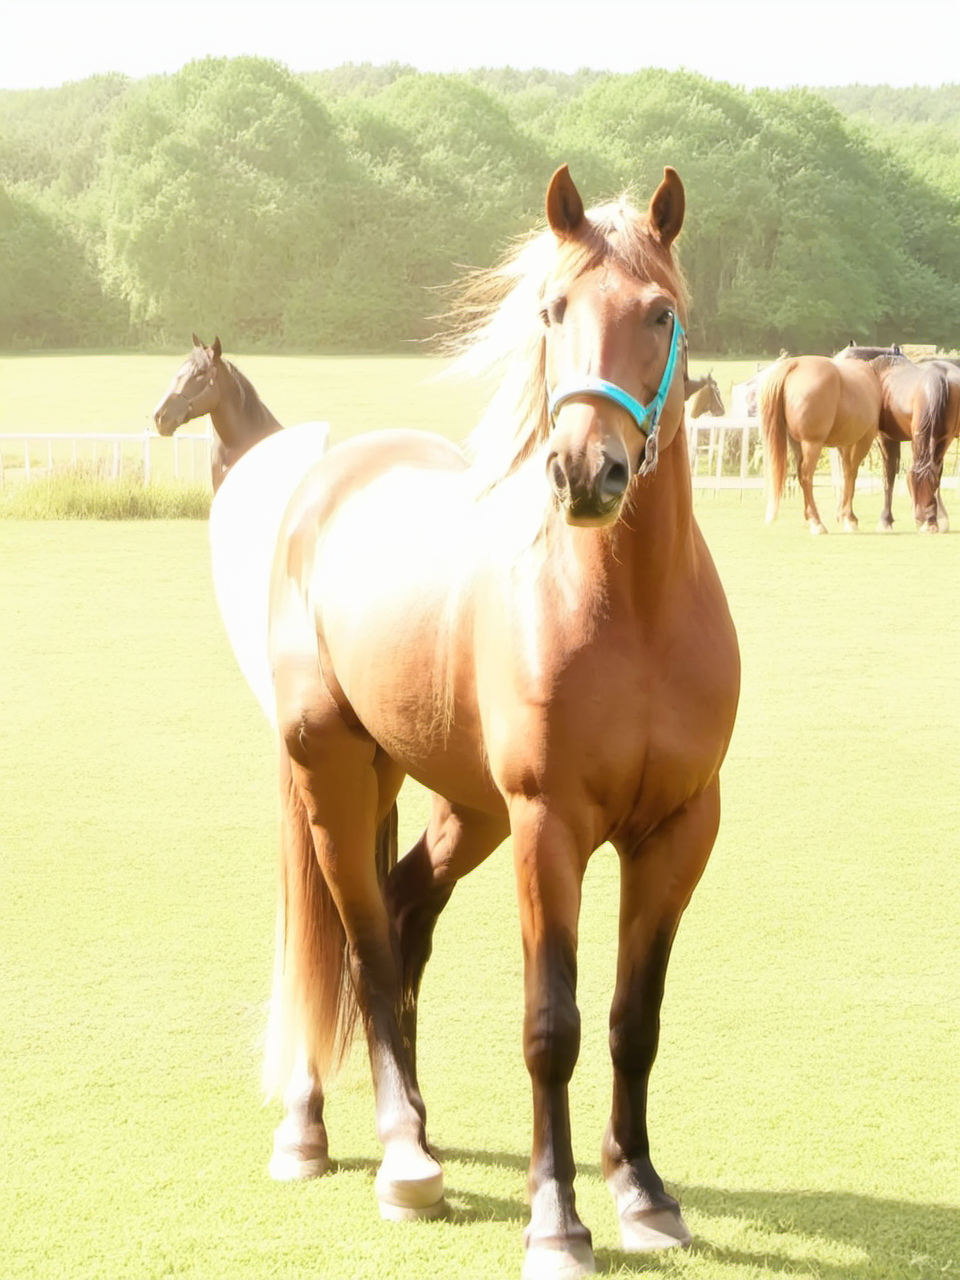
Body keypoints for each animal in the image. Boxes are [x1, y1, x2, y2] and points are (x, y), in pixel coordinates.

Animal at [209, 164, 741, 1280]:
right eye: (553, 310)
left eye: (659, 311)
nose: (586, 471)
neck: (631, 611)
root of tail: (330, 476)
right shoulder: (551, 827)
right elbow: (553, 1025)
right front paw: (557, 1218)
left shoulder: (679, 831)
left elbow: (633, 1018)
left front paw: (643, 1189)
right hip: (334, 772)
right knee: (356, 937)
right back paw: (378, 1148)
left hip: (453, 798)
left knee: (400, 915)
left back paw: (399, 1120)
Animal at [758, 354, 882, 533]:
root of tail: (795, 364)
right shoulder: (862, 440)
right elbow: (852, 474)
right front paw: (849, 518)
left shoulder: (844, 444)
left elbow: (847, 474)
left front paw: (843, 516)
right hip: (812, 444)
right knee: (806, 476)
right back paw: (817, 523)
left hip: (797, 444)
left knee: (801, 475)